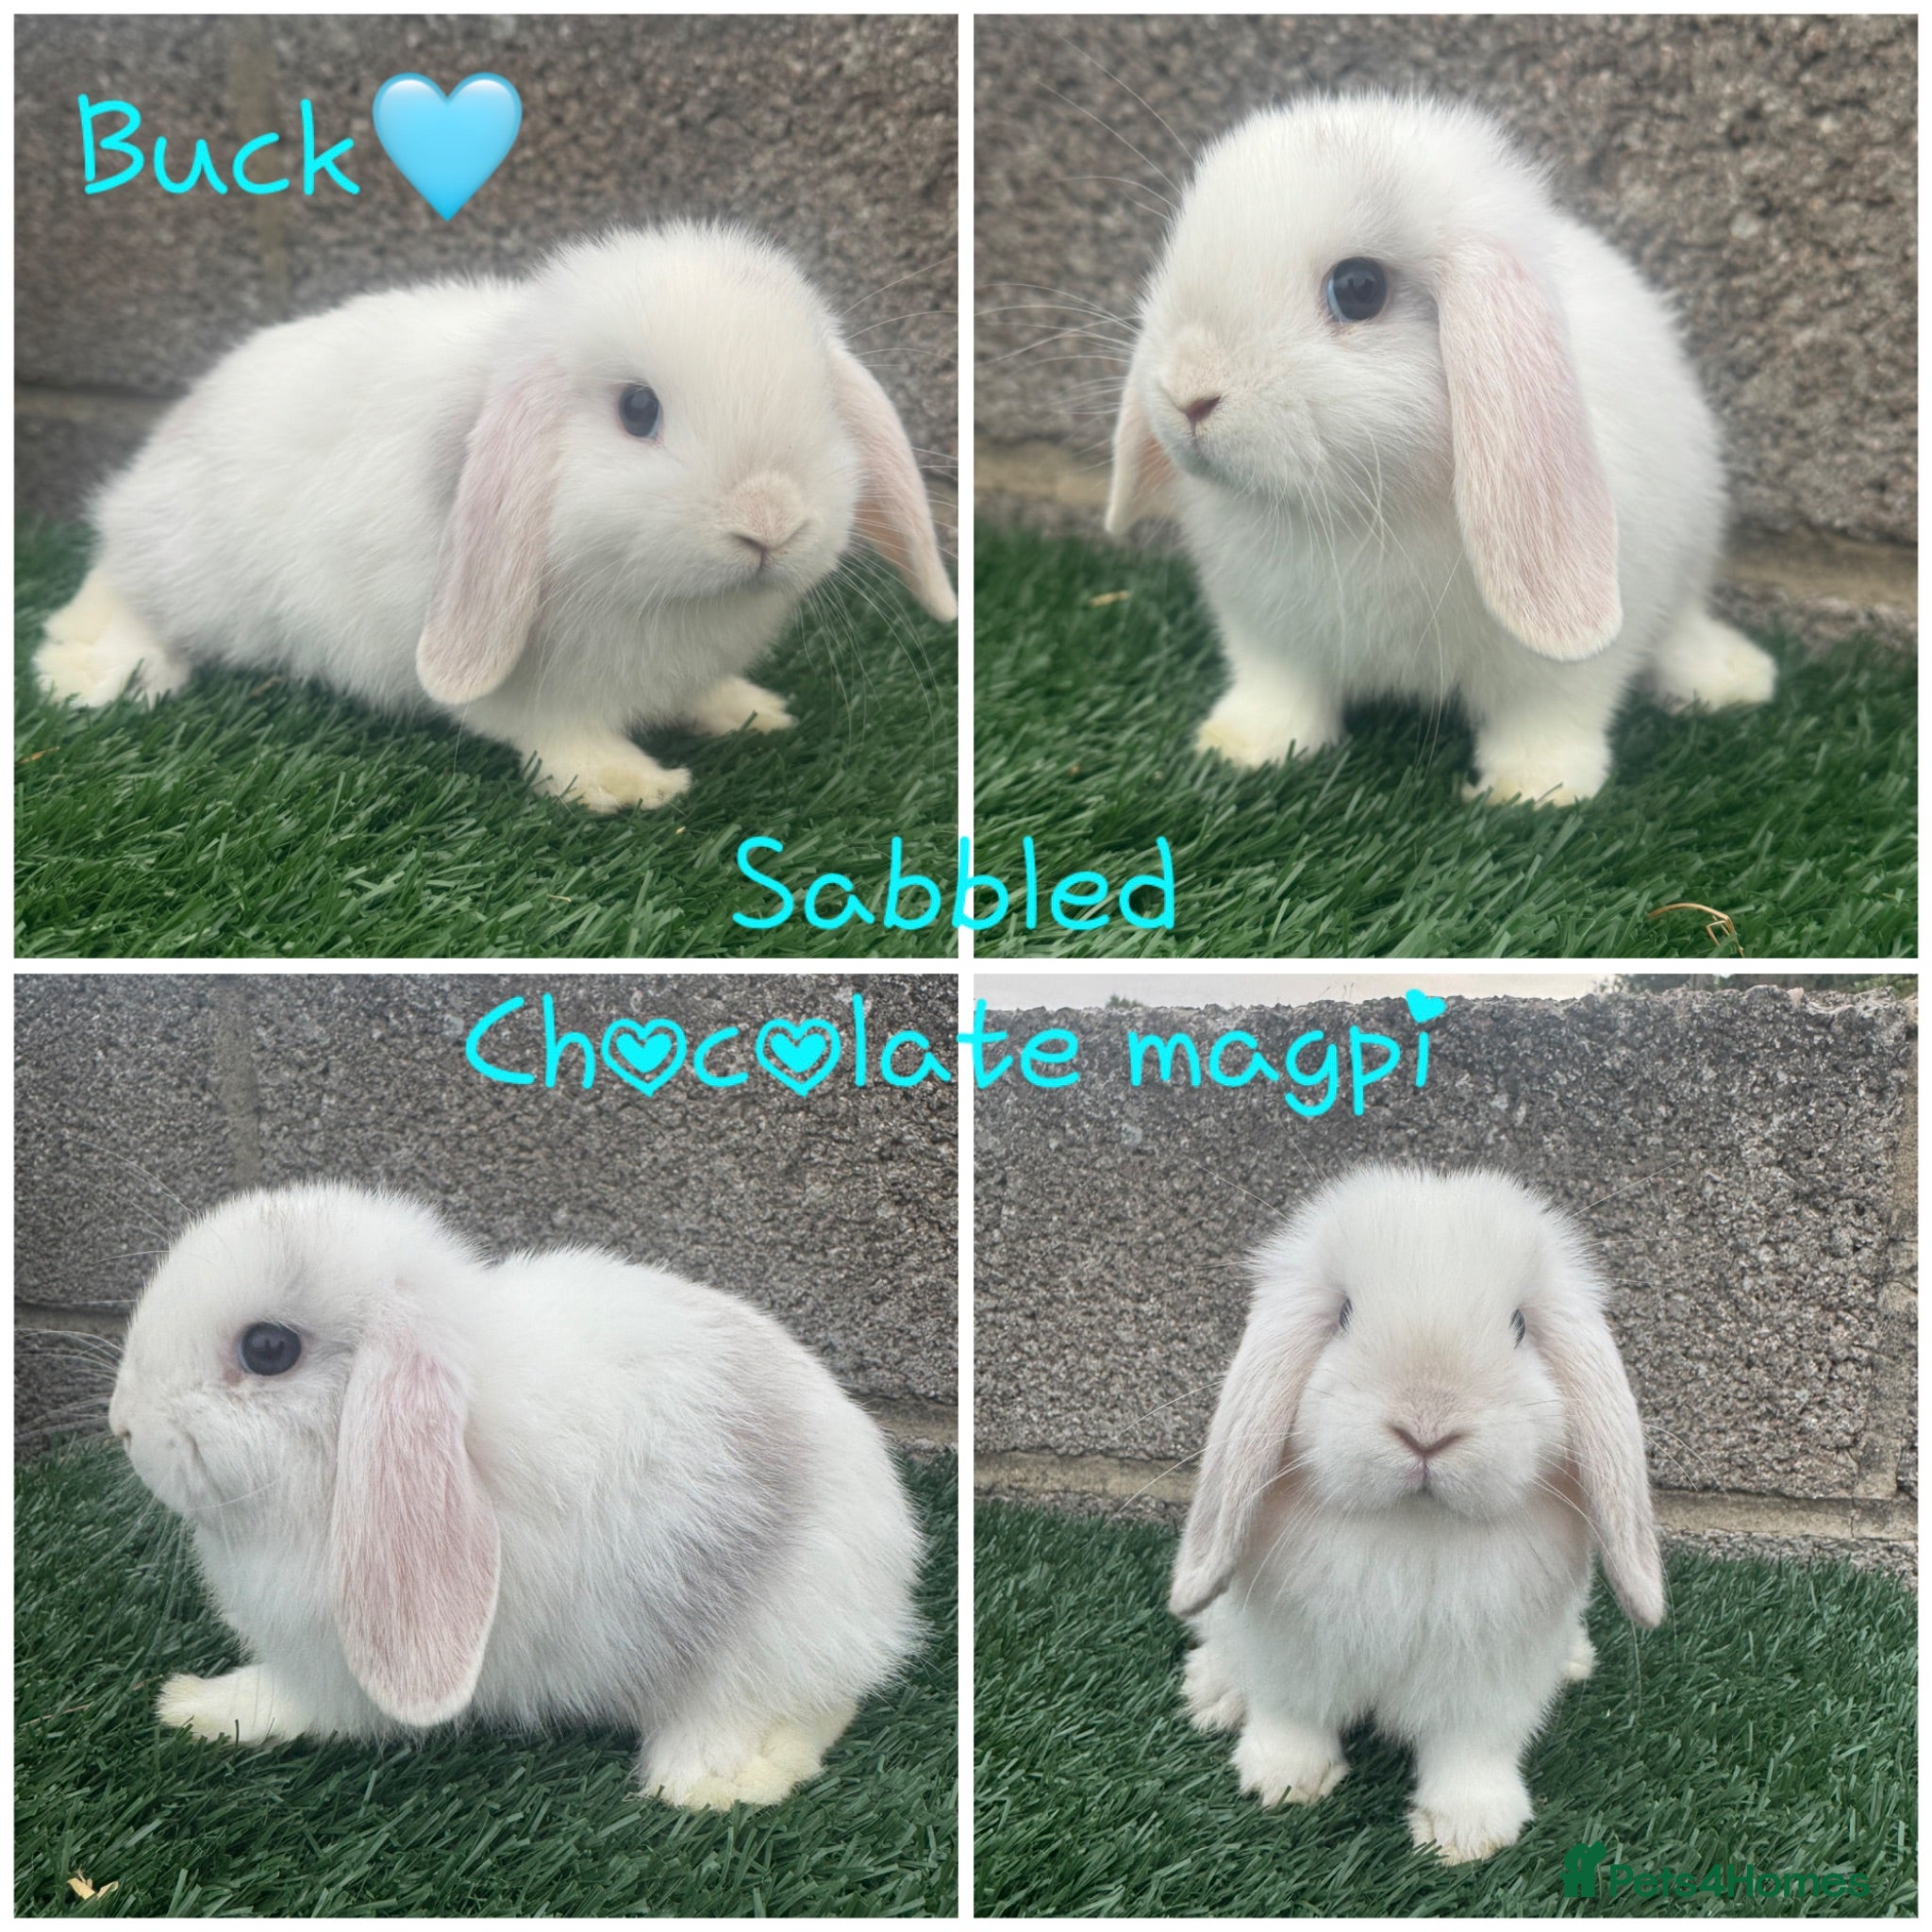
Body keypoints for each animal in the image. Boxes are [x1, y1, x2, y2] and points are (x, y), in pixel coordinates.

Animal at [38, 224, 956, 813]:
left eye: (824, 406)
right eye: (638, 410)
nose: (769, 520)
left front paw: (748, 711)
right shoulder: (528, 687)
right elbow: (555, 731)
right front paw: (629, 786)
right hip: (189, 571)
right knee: (130, 603)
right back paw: (88, 673)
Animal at [106, 1183, 923, 1809]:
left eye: (268, 1349)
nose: (122, 1425)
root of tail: (892, 1578)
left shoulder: (332, 1674)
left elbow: (285, 1703)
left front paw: (195, 1705)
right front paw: (188, 1702)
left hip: (761, 1648)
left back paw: (708, 1783)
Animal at [1106, 93, 1776, 806]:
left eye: (1359, 287)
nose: (1188, 393)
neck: (1362, 513)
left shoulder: (1558, 669)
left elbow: (1551, 716)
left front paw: (1533, 791)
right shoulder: (1265, 632)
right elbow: (1278, 694)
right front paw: (1241, 748)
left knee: (1679, 630)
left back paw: (1735, 677)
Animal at [1172, 1165, 1662, 1863]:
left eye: (1519, 1324)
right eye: (1343, 1314)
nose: (1426, 1428)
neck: (1414, 1529)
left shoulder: (1490, 1682)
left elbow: (1471, 1753)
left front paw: (1469, 1832)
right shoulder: (1290, 1652)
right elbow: (1292, 1714)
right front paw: (1283, 1781)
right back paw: (1212, 1692)